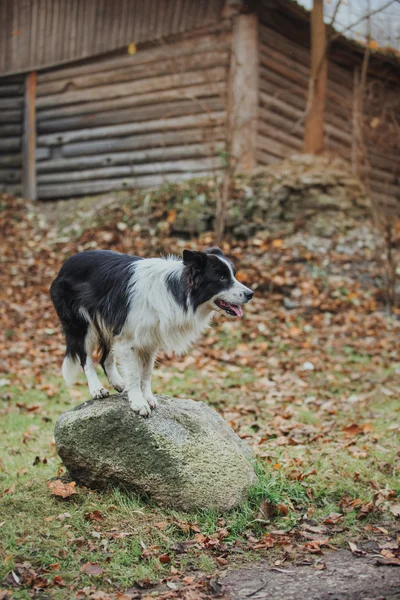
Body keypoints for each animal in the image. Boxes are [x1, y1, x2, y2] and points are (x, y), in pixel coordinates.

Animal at [50, 246, 253, 414]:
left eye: (233, 275)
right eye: (222, 278)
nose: (251, 294)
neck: (177, 292)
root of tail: (65, 264)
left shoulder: (150, 339)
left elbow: (146, 373)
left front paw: (146, 397)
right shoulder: (128, 339)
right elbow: (134, 373)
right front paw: (139, 403)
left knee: (105, 358)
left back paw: (118, 383)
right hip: (83, 324)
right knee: (86, 358)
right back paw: (97, 389)